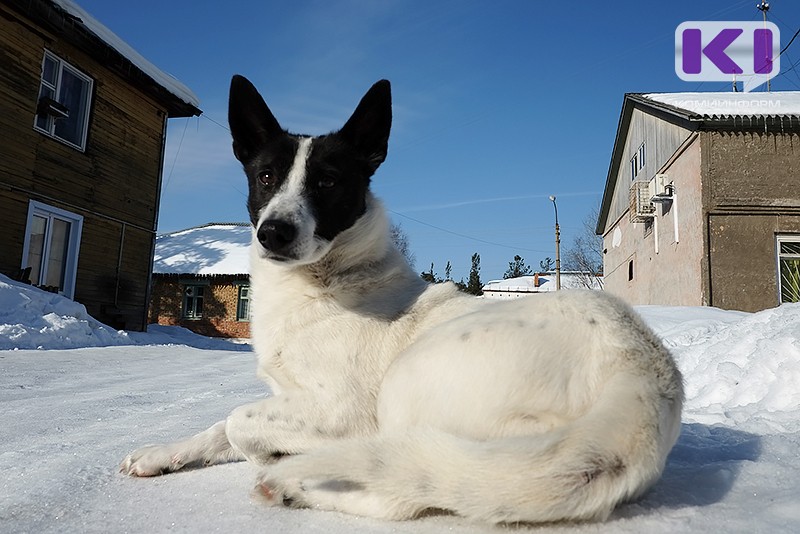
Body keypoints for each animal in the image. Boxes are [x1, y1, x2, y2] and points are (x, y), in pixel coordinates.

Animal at [122, 76, 684, 528]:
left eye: (327, 181)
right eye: (265, 176)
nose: (273, 233)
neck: (325, 282)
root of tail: (640, 380)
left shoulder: (340, 408)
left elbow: (240, 420)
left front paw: (279, 454)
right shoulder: (285, 397)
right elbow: (221, 425)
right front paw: (162, 453)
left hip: (406, 383)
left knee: (402, 490)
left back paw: (295, 482)